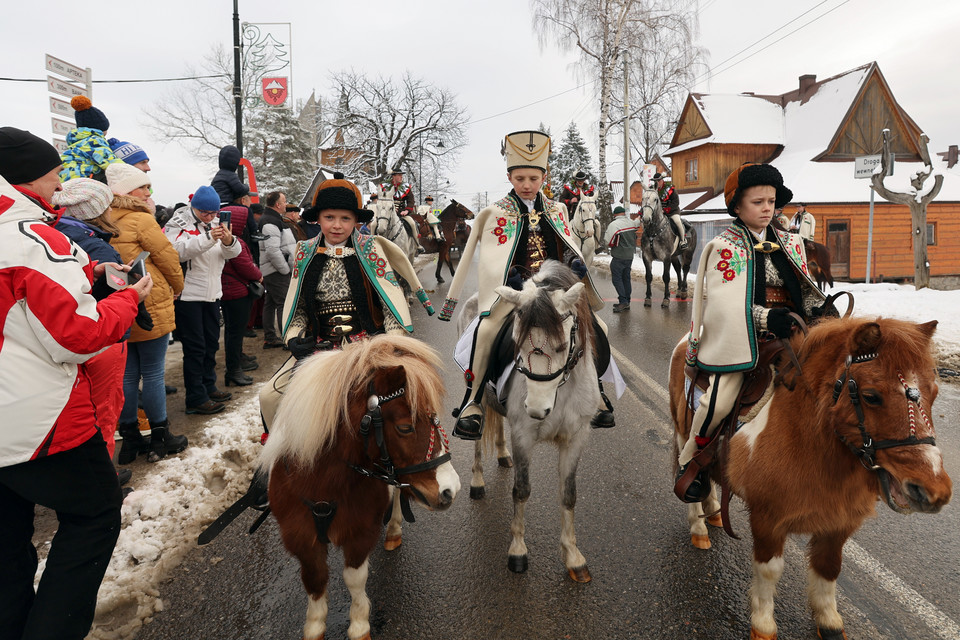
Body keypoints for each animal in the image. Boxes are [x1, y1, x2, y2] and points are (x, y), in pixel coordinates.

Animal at [258, 336, 462, 640]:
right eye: (405, 427)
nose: (450, 490)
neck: (325, 486)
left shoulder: (360, 533)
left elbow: (354, 578)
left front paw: (359, 624)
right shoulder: (300, 537)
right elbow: (315, 579)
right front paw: (315, 626)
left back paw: (393, 531)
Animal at [668, 316, 952, 640]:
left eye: (934, 393)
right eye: (871, 396)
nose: (933, 490)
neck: (805, 438)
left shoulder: (839, 523)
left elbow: (829, 568)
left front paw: (828, 620)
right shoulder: (767, 519)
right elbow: (769, 570)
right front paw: (763, 623)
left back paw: (714, 511)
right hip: (683, 432)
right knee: (689, 466)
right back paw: (699, 527)